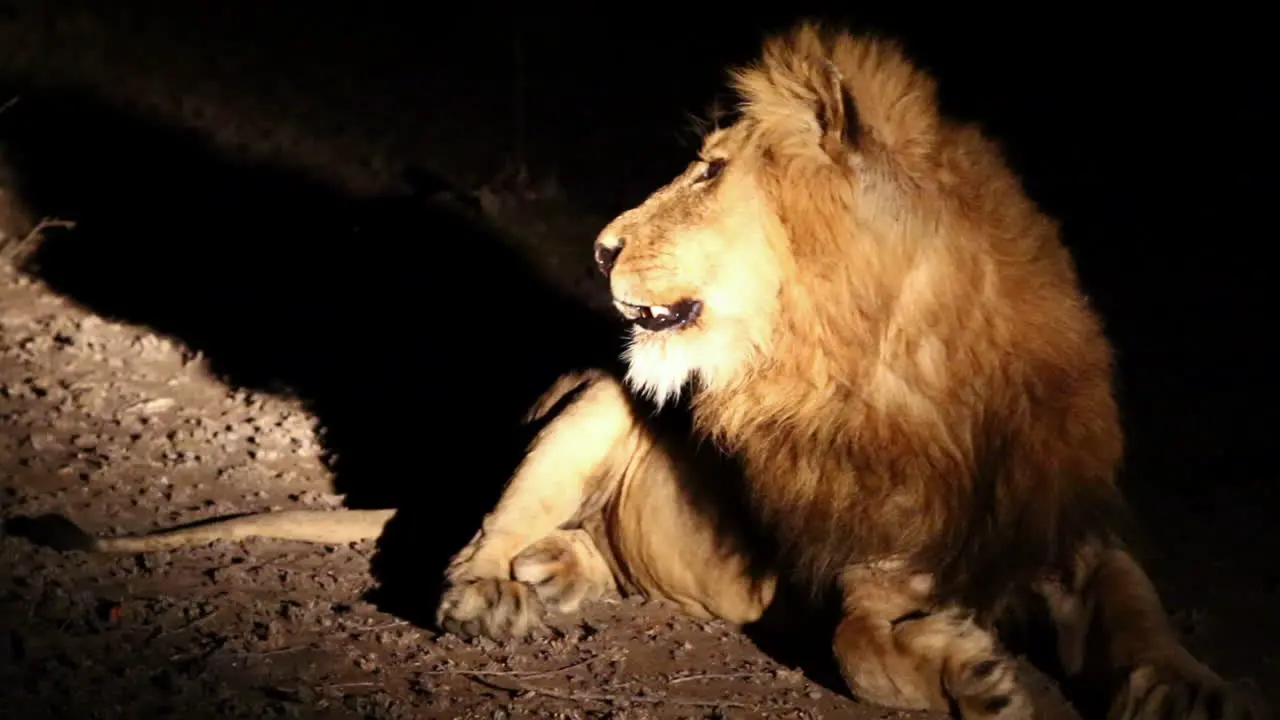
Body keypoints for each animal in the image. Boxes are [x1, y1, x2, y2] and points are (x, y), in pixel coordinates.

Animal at [432, 19, 1259, 717]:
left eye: (710, 174)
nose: (601, 249)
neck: (926, 372)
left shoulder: (1064, 527)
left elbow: (1139, 614)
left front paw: (1195, 690)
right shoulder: (858, 569)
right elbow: (858, 647)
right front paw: (972, 678)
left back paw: (557, 566)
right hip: (595, 399)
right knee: (484, 534)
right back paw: (489, 595)